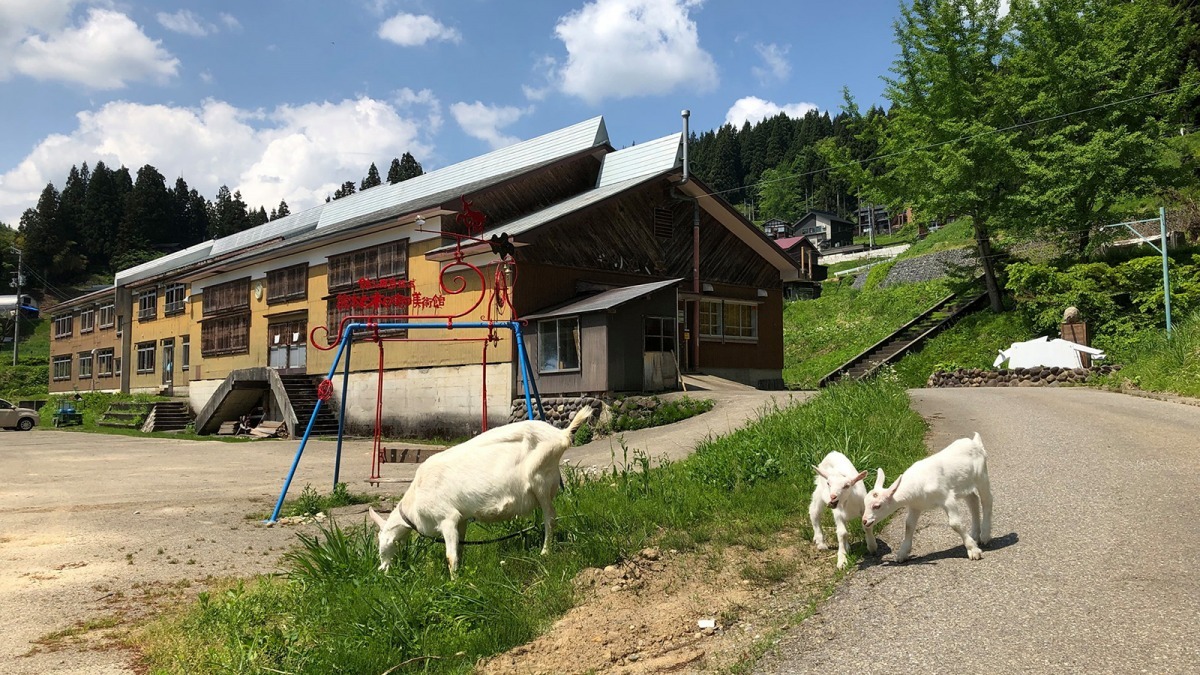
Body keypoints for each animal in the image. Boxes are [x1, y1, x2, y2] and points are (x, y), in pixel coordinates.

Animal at [368, 407, 593, 577]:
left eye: (381, 542)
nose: (381, 569)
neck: (415, 498)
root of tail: (562, 435)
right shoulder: (460, 519)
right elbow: (460, 547)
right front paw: (462, 571)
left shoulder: (446, 517)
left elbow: (450, 556)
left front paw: (454, 582)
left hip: (540, 480)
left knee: (550, 518)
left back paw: (545, 552)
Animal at [861, 432, 993, 563]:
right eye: (865, 503)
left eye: (877, 506)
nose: (864, 521)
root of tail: (975, 442)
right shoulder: (915, 506)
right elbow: (909, 525)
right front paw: (902, 554)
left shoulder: (946, 497)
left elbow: (955, 524)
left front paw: (973, 550)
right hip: (964, 485)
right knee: (973, 500)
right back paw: (975, 535)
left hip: (981, 476)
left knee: (987, 501)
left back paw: (984, 535)